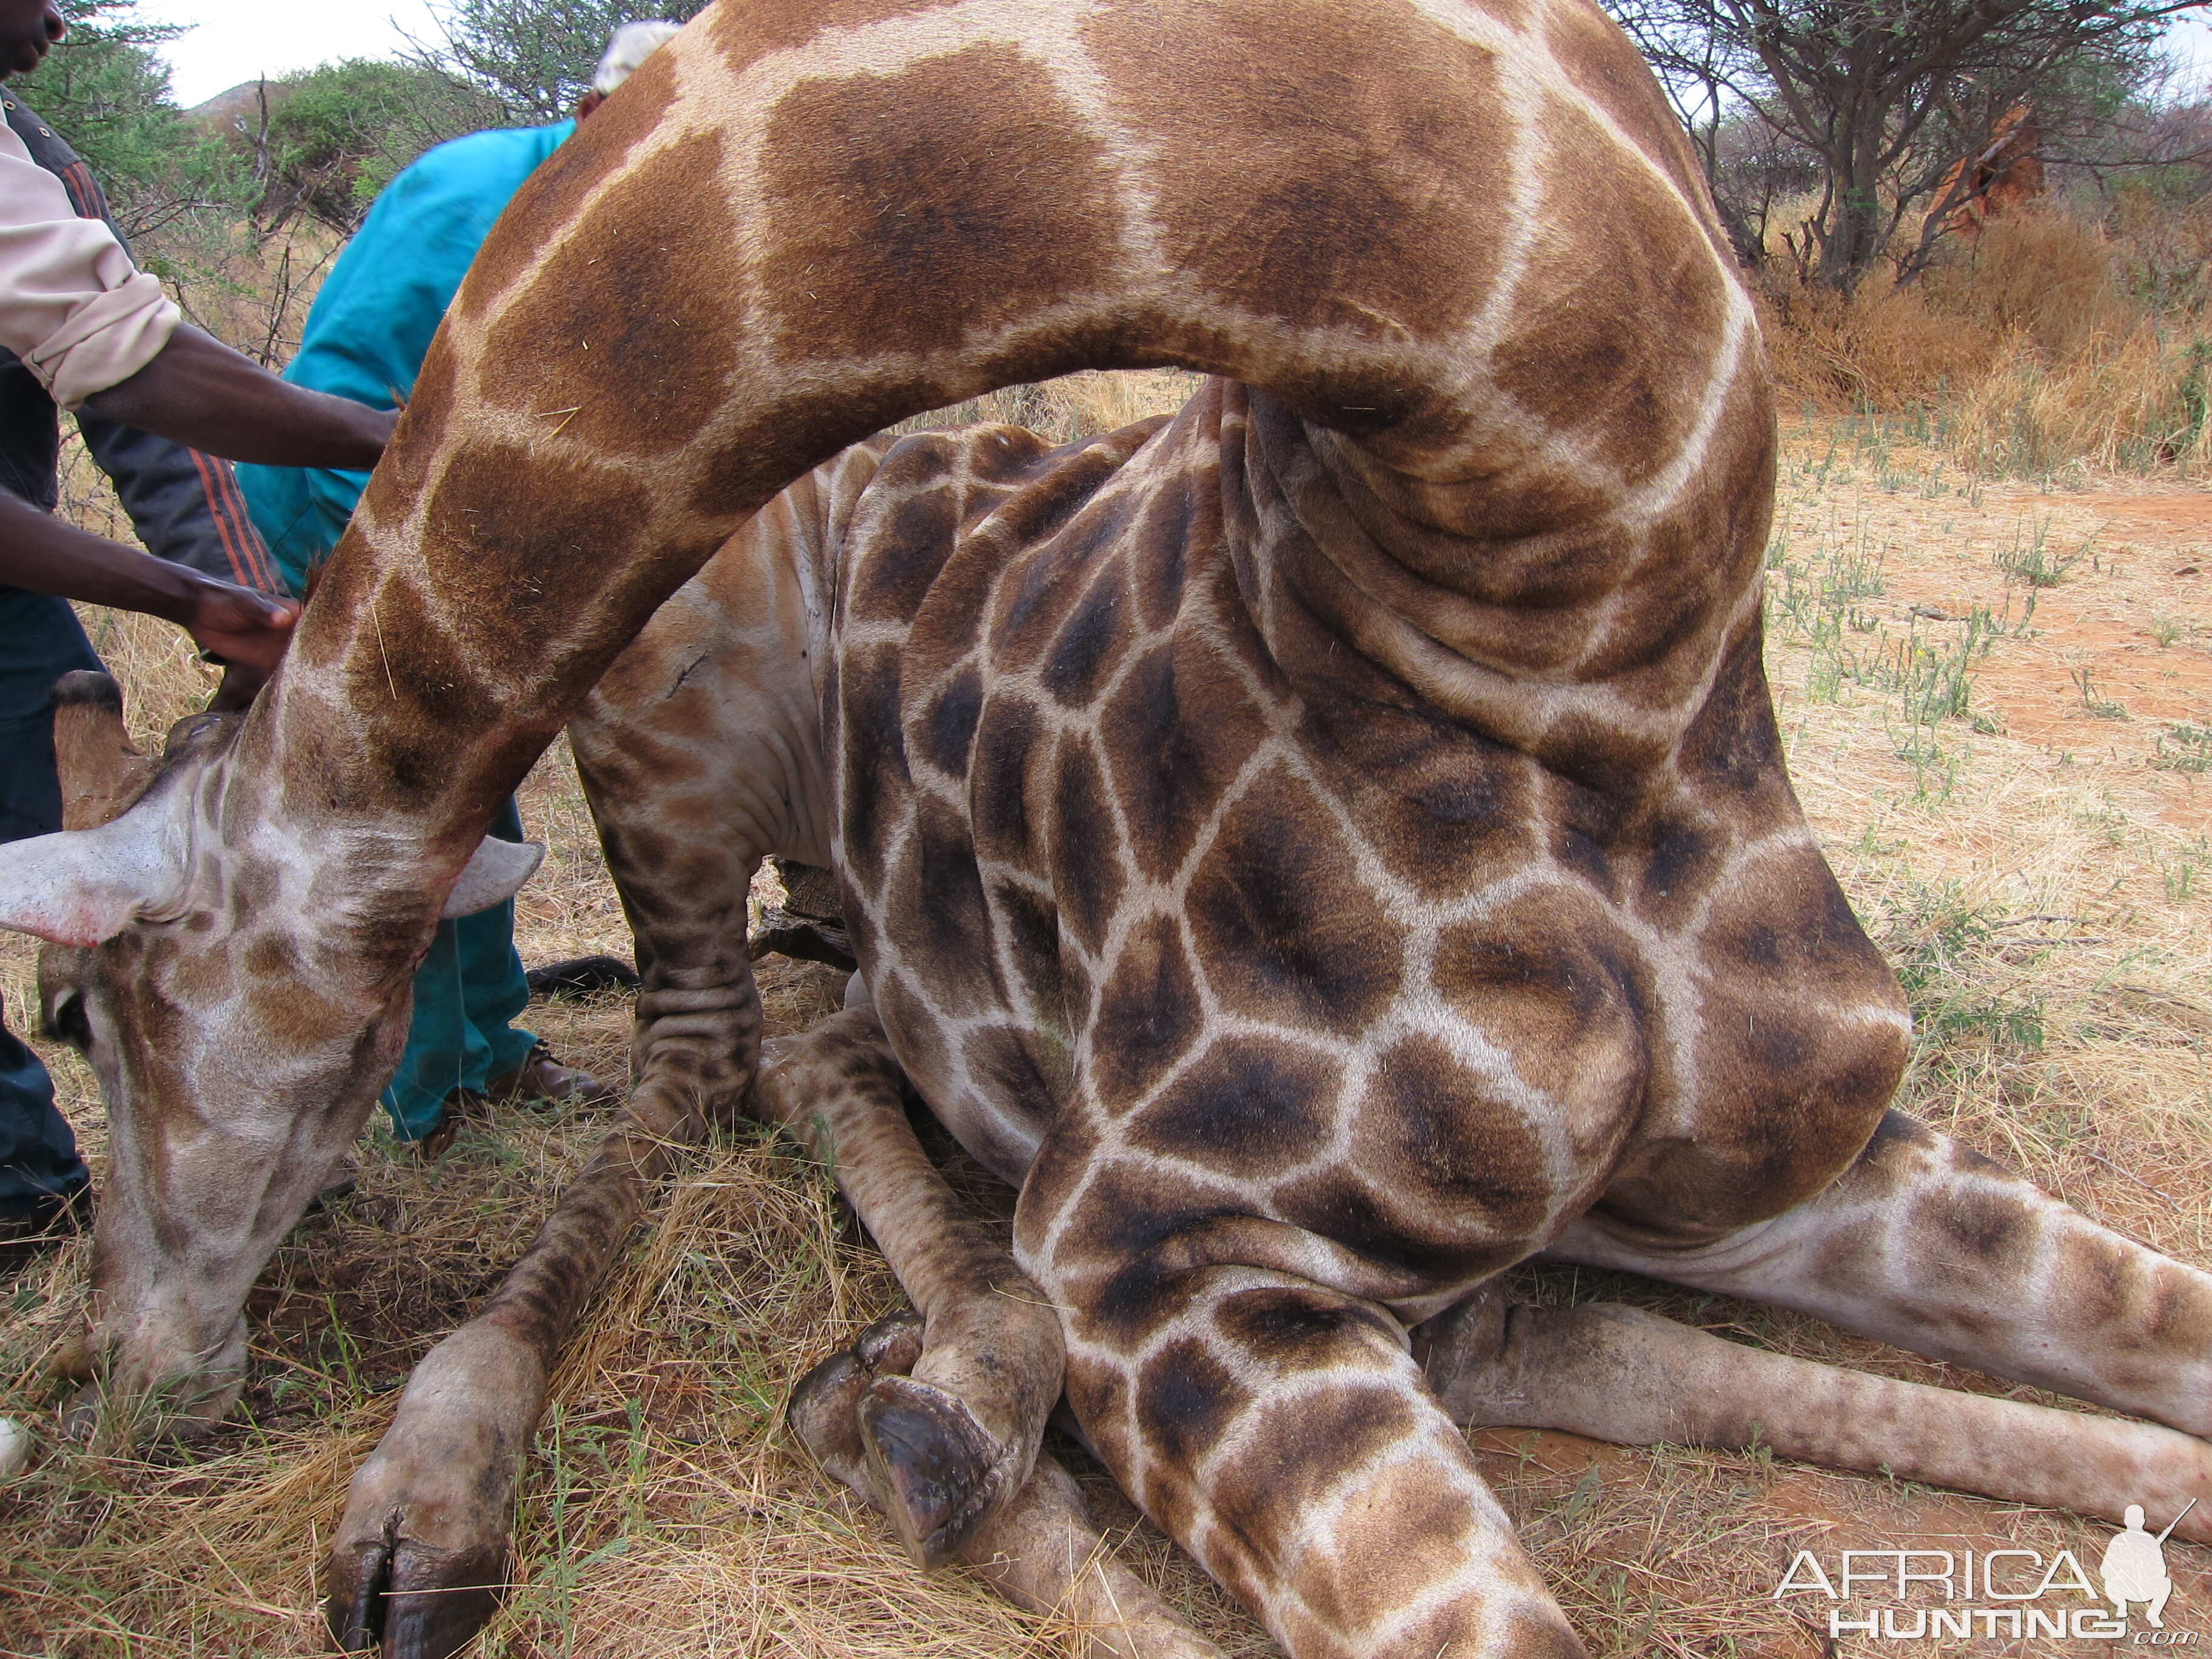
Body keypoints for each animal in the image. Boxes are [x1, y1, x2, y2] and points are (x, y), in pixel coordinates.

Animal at [4, 0, 2212, 1654]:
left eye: (89, 1006)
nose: (117, 1363)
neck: (1587, 583)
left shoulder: (1813, 1157)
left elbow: (2144, 1320)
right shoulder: (1164, 1251)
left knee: (804, 1029)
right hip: (676, 723)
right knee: (721, 1045)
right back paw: (546, 1481)